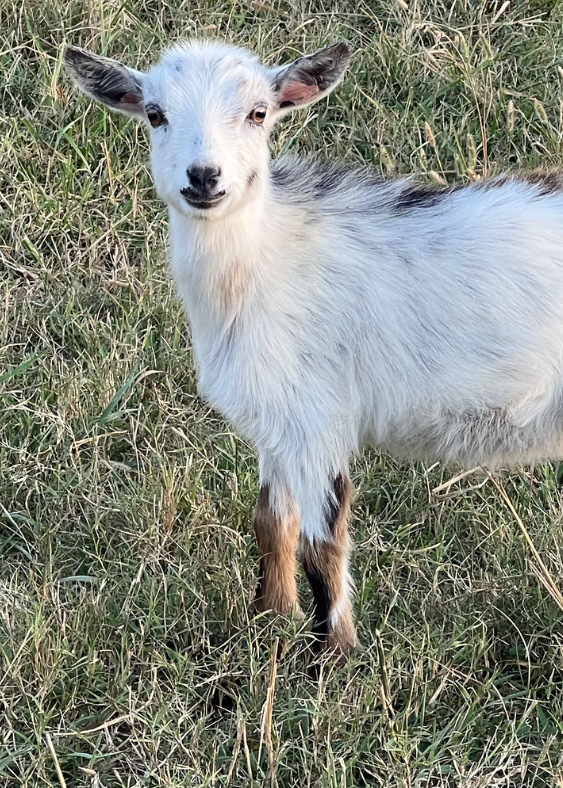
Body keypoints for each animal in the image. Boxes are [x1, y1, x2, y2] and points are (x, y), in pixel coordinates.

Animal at [64, 39, 563, 655]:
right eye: (155, 114)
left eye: (259, 113)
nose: (204, 177)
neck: (266, 260)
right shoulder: (279, 424)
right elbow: (272, 523)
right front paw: (269, 623)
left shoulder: (318, 419)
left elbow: (322, 545)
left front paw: (333, 659)